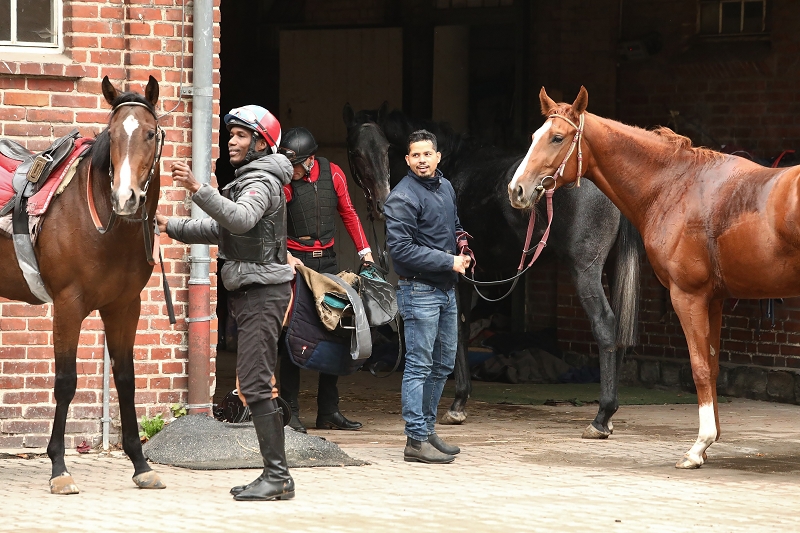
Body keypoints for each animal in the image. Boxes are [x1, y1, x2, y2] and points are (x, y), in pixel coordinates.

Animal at [0, 76, 166, 493]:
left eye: (150, 133)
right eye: (113, 134)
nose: (126, 198)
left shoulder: (125, 307)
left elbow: (125, 379)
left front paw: (141, 464)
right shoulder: (68, 305)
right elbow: (65, 382)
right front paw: (59, 468)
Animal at [343, 102, 643, 438]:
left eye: (385, 148)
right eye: (356, 151)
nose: (382, 203)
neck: (450, 167)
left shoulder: (458, 274)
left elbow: (456, 329)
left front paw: (457, 403)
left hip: (586, 270)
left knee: (605, 324)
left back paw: (602, 417)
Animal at [508, 85, 800, 468]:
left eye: (557, 137)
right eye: (532, 137)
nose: (516, 190)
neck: (677, 187)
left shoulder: (688, 296)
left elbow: (699, 368)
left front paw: (698, 447)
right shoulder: (715, 299)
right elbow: (712, 364)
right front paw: (710, 442)